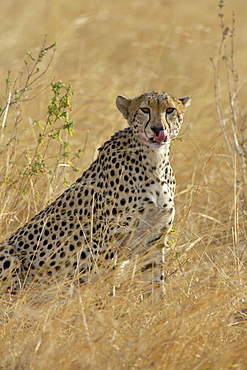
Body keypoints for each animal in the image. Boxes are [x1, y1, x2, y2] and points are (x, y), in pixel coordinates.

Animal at [0, 92, 191, 292]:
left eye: (169, 110)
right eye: (145, 109)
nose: (158, 129)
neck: (154, 162)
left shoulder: (154, 241)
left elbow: (155, 287)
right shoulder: (106, 244)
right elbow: (105, 288)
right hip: (8, 250)